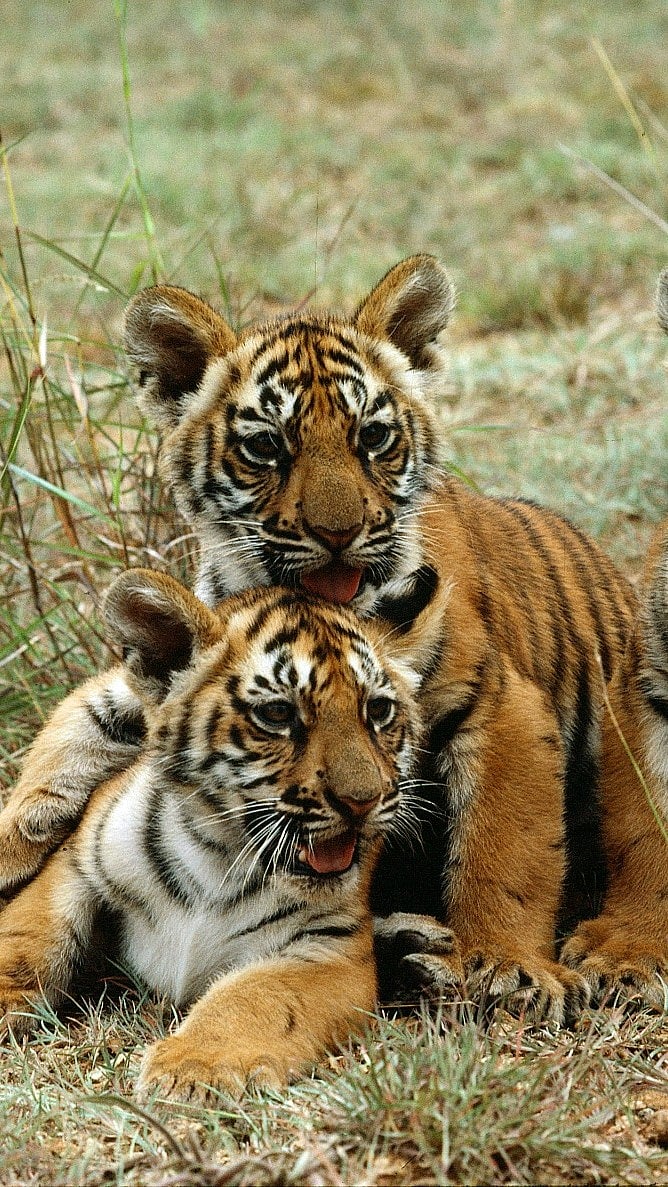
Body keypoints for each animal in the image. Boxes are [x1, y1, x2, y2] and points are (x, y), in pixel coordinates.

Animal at [0, 254, 664, 1024]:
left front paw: (505, 963)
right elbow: (85, 715)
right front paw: (18, 835)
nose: (339, 531)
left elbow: (507, 846)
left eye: (372, 437)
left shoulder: (500, 704)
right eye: (266, 445)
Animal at [0, 569, 421, 1100]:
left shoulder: (333, 946)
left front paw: (192, 1068)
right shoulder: (75, 861)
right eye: (278, 715)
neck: (218, 856)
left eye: (379, 710)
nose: (363, 801)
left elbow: (257, 994)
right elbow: (27, 937)